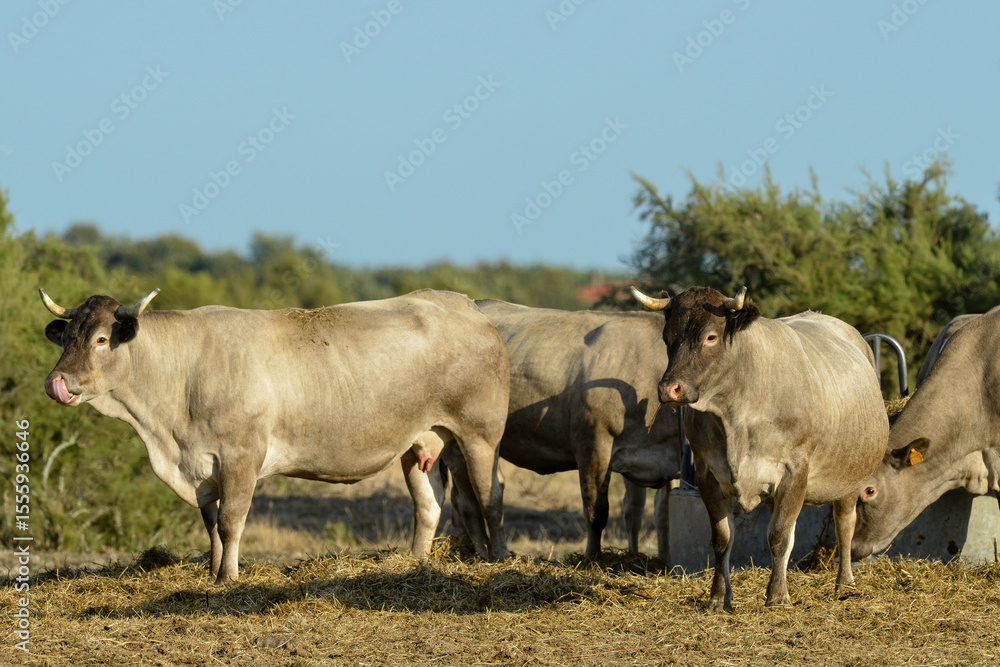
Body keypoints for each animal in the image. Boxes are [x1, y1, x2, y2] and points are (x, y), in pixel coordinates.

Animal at [40, 288, 510, 583]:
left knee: (491, 496)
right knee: (432, 504)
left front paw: (228, 578)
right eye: (66, 337)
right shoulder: (201, 467)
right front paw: (211, 572)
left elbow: (231, 522)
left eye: (102, 339)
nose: (56, 382)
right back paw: (417, 563)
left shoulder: (241, 456)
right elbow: (211, 525)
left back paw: (500, 558)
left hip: (481, 435)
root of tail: (463, 304)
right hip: (424, 441)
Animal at [632, 285, 889, 609]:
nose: (668, 389)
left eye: (710, 337)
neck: (734, 415)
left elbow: (779, 536)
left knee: (844, 524)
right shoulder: (707, 474)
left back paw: (844, 583)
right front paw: (719, 597)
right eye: (667, 338)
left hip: (849, 478)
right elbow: (722, 538)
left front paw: (777, 595)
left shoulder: (795, 471)